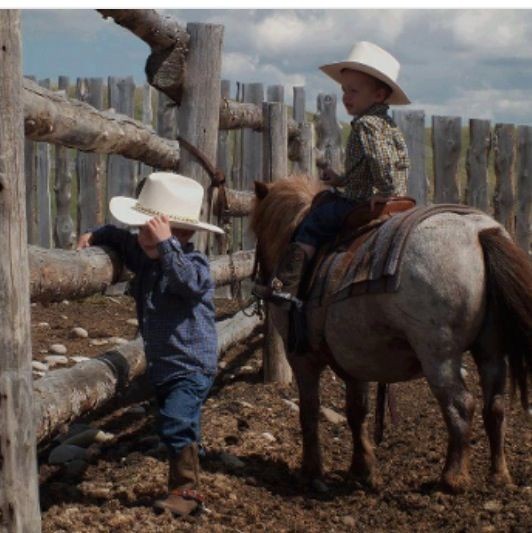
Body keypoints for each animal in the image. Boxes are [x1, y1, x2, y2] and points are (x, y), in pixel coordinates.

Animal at [250, 174, 532, 490]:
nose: (262, 283)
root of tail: (479, 232)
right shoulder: (354, 359)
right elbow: (356, 411)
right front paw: (362, 468)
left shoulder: (302, 359)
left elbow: (309, 411)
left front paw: (311, 470)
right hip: (491, 351)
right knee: (495, 406)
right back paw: (499, 474)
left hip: (439, 356)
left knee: (461, 405)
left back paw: (453, 477)